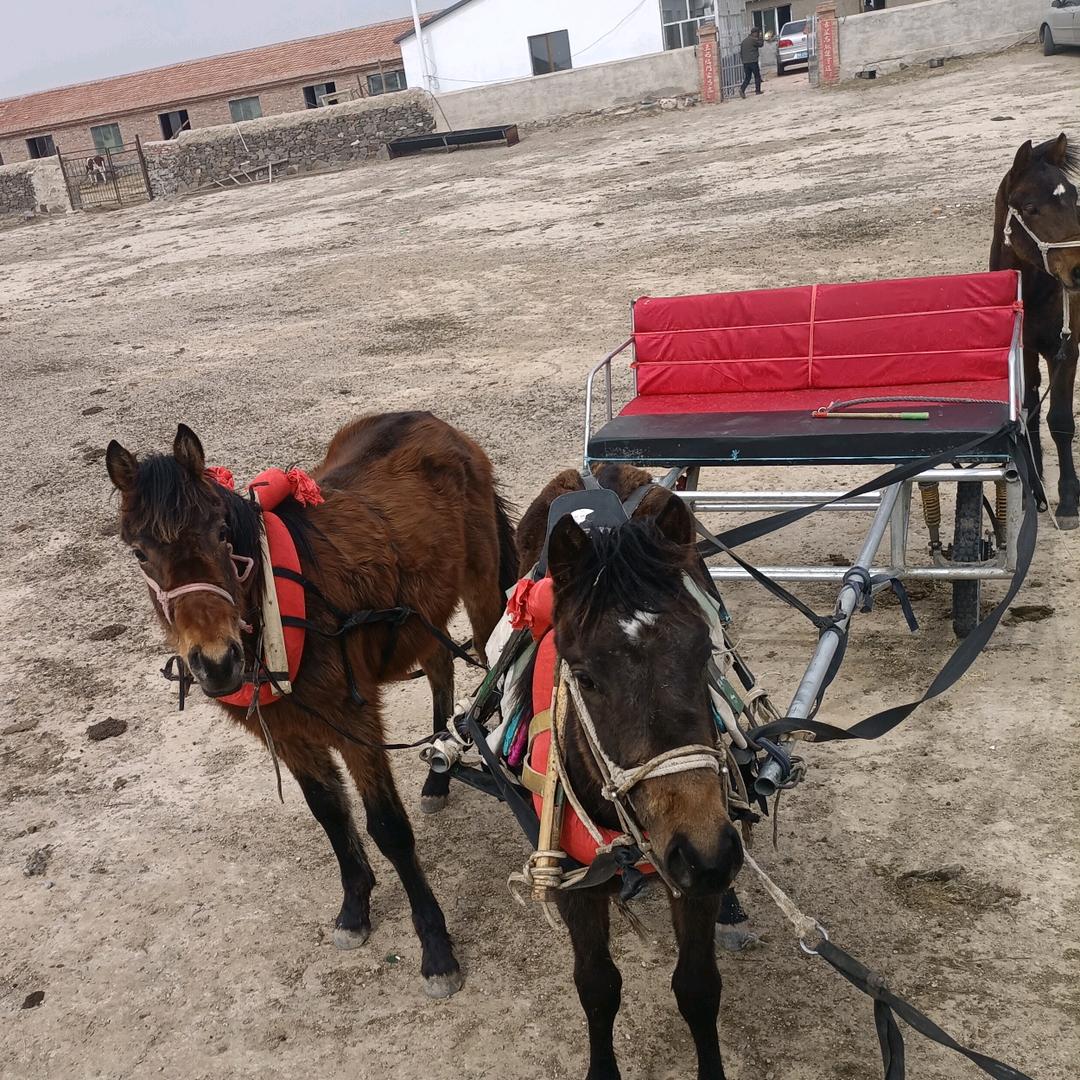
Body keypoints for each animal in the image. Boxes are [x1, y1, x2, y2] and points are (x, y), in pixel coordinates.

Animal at [105, 412, 517, 998]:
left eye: (221, 533)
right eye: (140, 552)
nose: (216, 662)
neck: (281, 612)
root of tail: (436, 424)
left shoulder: (354, 723)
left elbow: (388, 828)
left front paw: (436, 949)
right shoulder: (289, 734)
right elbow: (329, 812)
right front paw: (355, 907)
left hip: (481, 588)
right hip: (419, 612)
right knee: (439, 665)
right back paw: (439, 772)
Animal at [515, 464, 744, 1080]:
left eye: (704, 654)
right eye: (585, 676)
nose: (708, 853)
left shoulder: (692, 872)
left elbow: (698, 987)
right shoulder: (573, 877)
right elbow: (597, 986)